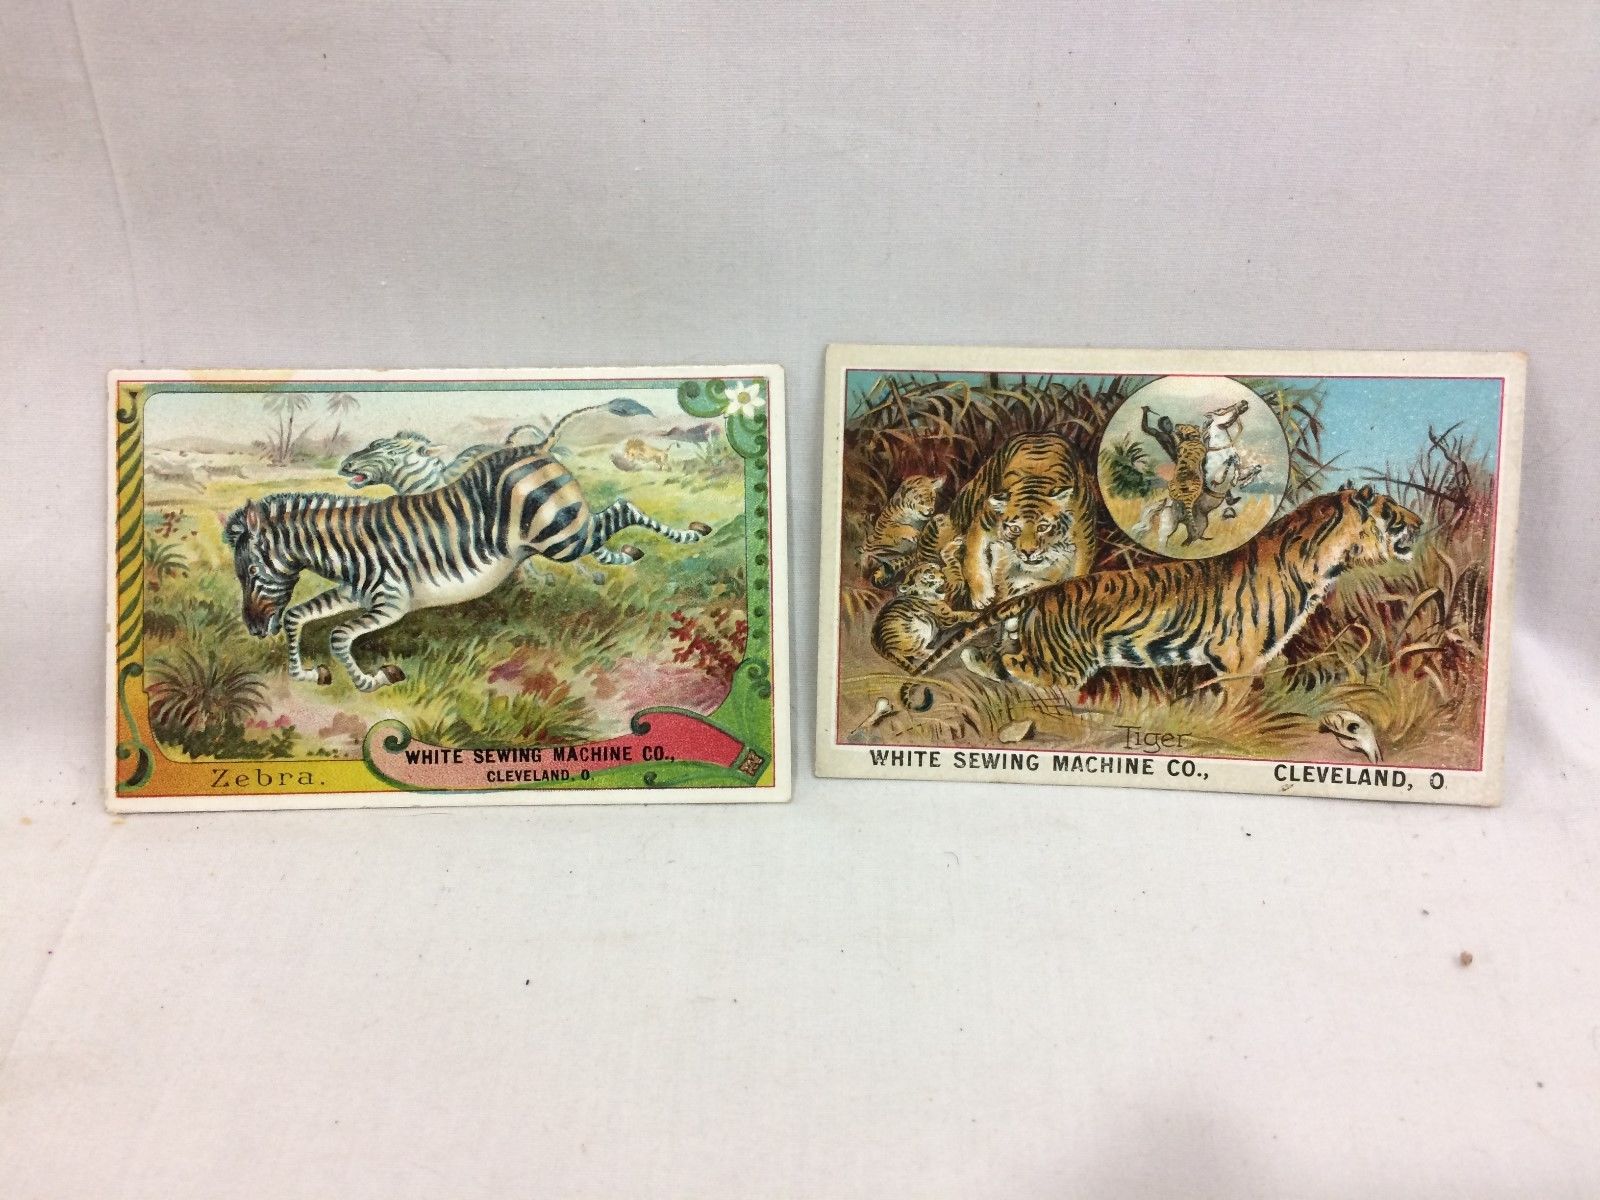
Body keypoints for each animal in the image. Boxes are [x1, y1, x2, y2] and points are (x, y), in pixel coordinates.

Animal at [222, 440, 710, 691]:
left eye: (250, 574)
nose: (252, 630)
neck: (346, 549)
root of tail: (532, 448)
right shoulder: (352, 593)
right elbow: (298, 616)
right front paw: (306, 673)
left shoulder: (391, 603)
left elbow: (339, 636)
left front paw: (374, 679)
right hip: (562, 534)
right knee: (607, 531)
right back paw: (629, 555)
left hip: (560, 538)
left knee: (624, 508)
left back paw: (693, 533)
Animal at [915, 485, 1422, 702]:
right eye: (1394, 512)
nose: (1420, 523)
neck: (1322, 566)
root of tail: (1041, 594)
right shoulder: (1236, 660)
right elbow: (1234, 705)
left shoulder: (1262, 656)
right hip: (1066, 659)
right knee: (1018, 666)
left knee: (988, 657)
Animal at [943, 433, 1095, 610]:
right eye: (1015, 529)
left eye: (1043, 527)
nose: (1028, 552)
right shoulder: (983, 523)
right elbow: (973, 555)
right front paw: (982, 596)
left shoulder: (1085, 539)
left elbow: (1079, 570)